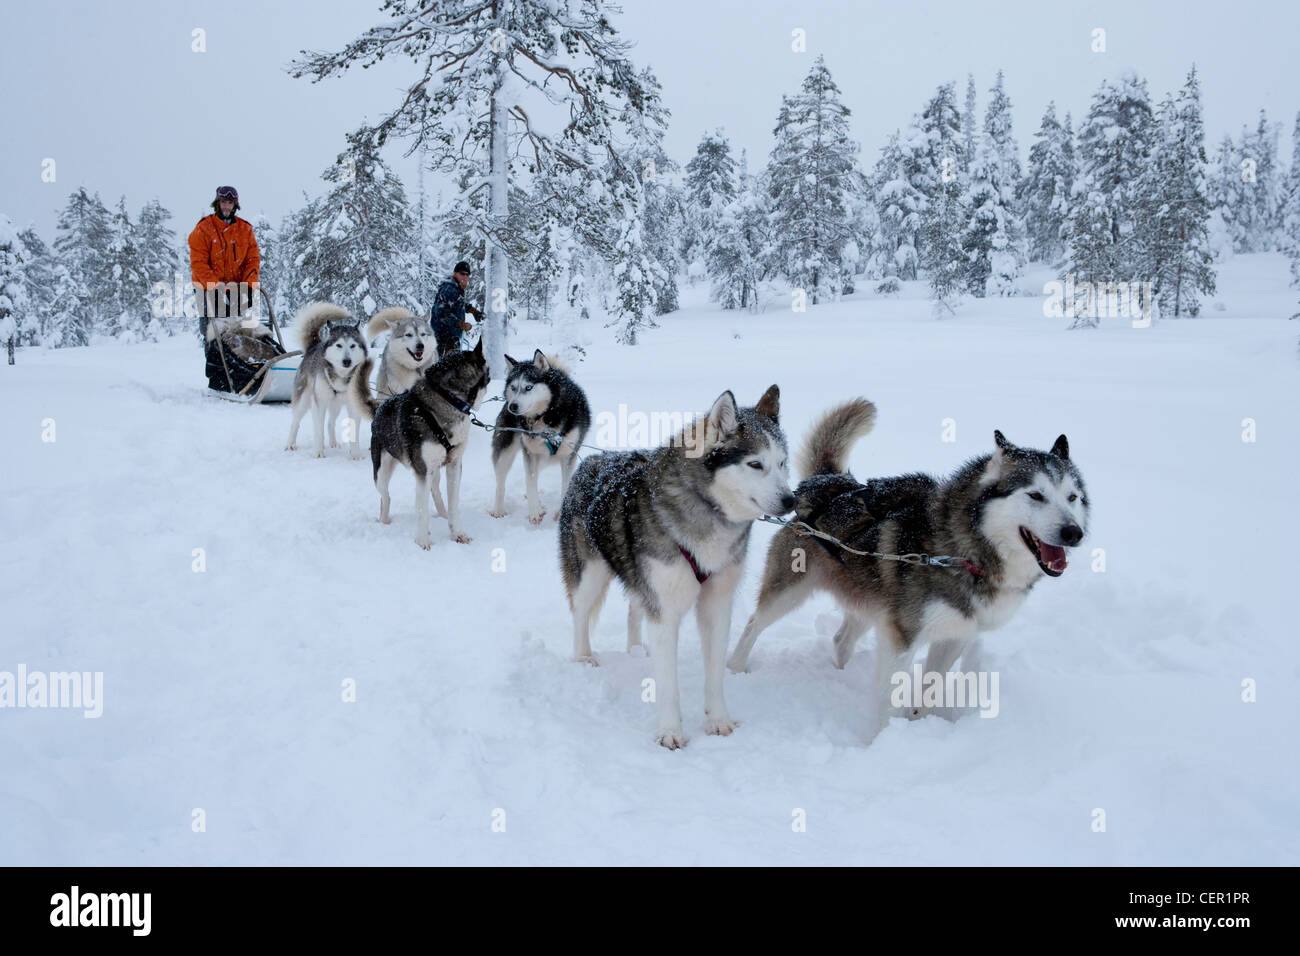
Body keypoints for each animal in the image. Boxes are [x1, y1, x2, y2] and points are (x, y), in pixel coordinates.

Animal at [283, 303, 366, 460]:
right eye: (339, 345)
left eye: (352, 345)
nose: (347, 361)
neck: (341, 376)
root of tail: (314, 346)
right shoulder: (319, 403)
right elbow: (318, 430)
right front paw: (318, 451)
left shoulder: (353, 404)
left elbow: (353, 431)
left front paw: (356, 454)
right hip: (303, 401)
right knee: (295, 422)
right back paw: (290, 444)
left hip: (336, 405)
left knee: (330, 423)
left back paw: (333, 443)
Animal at [348, 340, 488, 548]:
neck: (447, 400)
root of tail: (380, 407)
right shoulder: (422, 470)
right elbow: (421, 509)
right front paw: (422, 541)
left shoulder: (454, 465)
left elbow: (453, 503)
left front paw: (457, 533)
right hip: (381, 473)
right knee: (385, 498)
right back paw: (384, 520)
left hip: (434, 470)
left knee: (435, 492)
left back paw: (442, 514)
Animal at [488, 351, 592, 528]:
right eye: (513, 387)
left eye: (528, 387)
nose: (512, 406)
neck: (546, 415)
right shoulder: (530, 453)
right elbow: (530, 482)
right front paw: (534, 512)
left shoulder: (568, 456)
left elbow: (565, 486)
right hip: (506, 452)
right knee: (501, 482)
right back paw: (499, 509)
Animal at [559, 385, 790, 749]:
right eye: (755, 464)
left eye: (782, 463)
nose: (791, 500)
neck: (707, 511)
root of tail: (593, 460)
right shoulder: (665, 610)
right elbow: (668, 684)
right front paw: (670, 732)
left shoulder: (716, 605)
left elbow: (715, 673)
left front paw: (719, 720)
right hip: (590, 575)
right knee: (580, 612)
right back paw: (583, 656)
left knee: (634, 609)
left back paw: (635, 649)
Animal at [728, 403, 1092, 723]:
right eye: (1035, 495)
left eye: (1072, 497)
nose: (1074, 532)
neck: (964, 551)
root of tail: (831, 484)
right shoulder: (901, 639)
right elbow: (890, 700)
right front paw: (882, 741)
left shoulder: (953, 636)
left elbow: (929, 688)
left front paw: (918, 725)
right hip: (790, 591)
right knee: (753, 625)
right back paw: (735, 669)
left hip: (870, 604)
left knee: (841, 640)